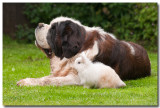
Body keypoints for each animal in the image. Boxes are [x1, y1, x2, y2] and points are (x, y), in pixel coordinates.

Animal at [16, 16, 151, 87]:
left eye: (53, 29)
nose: (39, 24)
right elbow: (47, 77)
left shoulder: (77, 78)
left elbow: (49, 80)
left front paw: (26, 82)